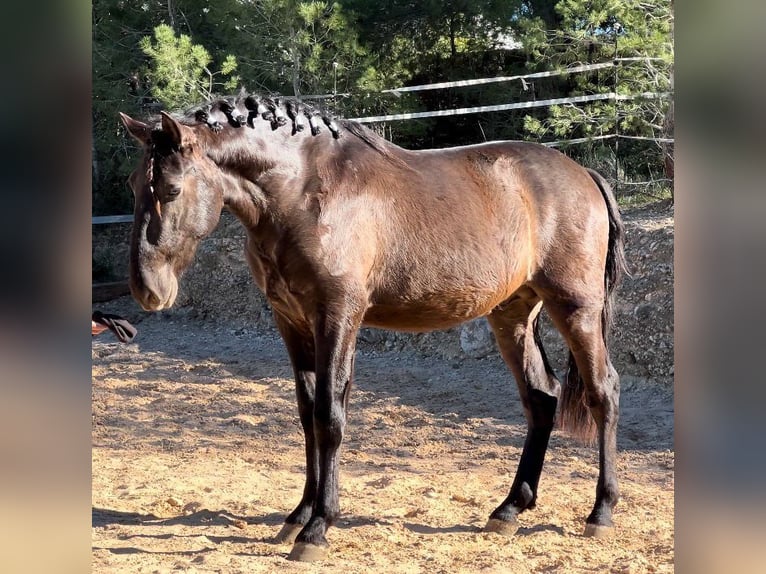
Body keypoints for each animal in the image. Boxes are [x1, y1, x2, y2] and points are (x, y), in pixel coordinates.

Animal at [118, 92, 624, 564]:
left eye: (171, 189)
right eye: (133, 184)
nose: (147, 289)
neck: (303, 189)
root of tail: (584, 175)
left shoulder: (338, 315)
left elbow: (329, 416)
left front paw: (317, 528)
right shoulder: (292, 321)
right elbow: (307, 414)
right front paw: (298, 515)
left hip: (575, 308)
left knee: (603, 391)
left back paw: (601, 513)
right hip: (512, 314)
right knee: (541, 398)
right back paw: (509, 509)